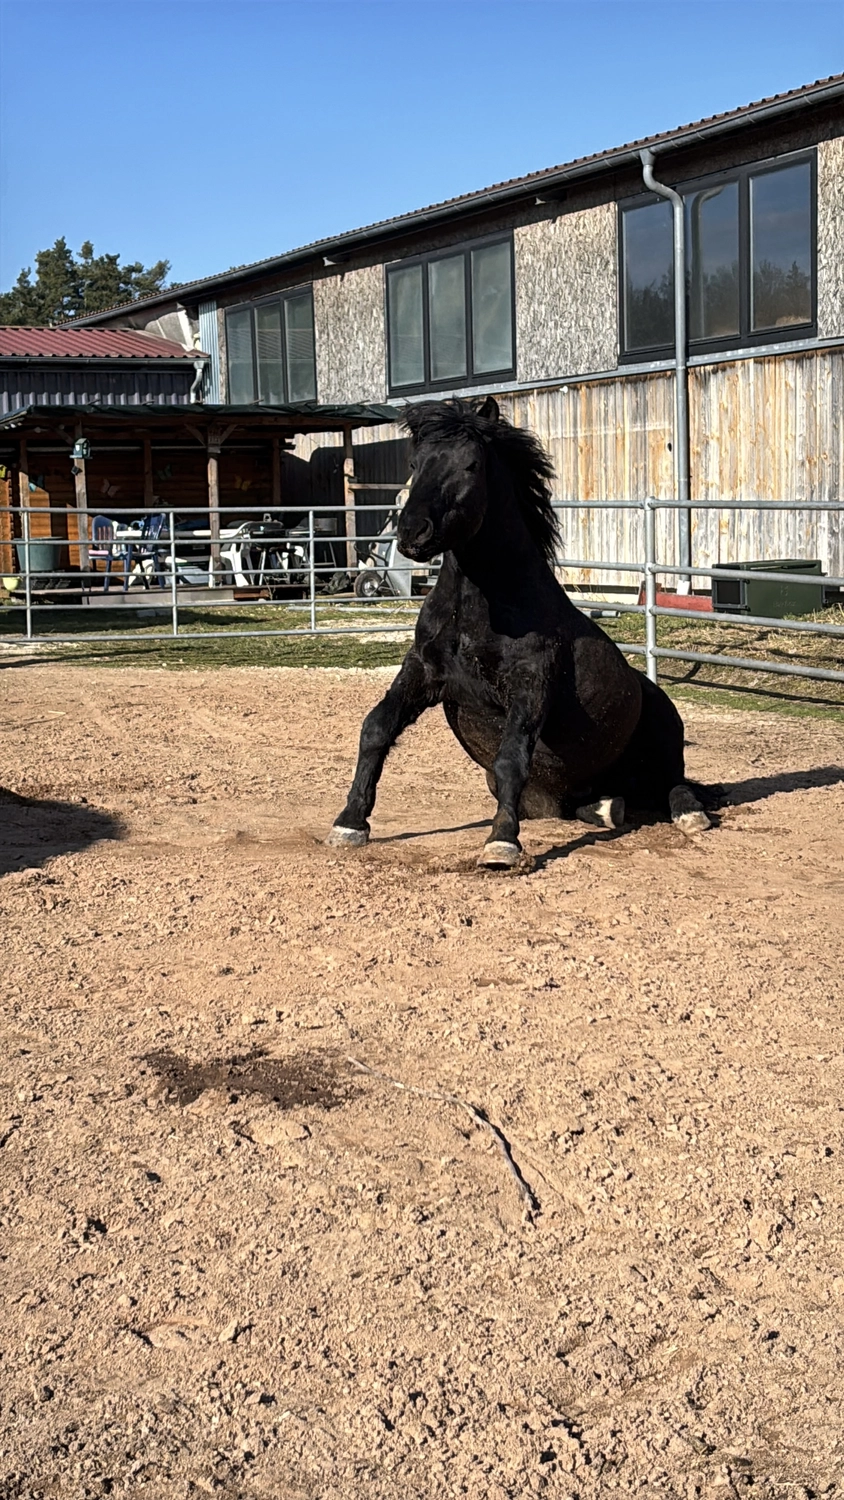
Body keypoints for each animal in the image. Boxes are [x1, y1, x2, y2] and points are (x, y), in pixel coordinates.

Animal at [327, 396, 711, 868]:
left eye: (470, 464)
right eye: (415, 463)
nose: (413, 532)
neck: (478, 612)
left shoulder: (530, 683)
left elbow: (511, 759)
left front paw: (502, 844)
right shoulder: (422, 672)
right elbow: (376, 728)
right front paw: (350, 823)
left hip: (666, 738)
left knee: (677, 784)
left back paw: (689, 815)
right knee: (597, 803)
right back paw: (609, 808)